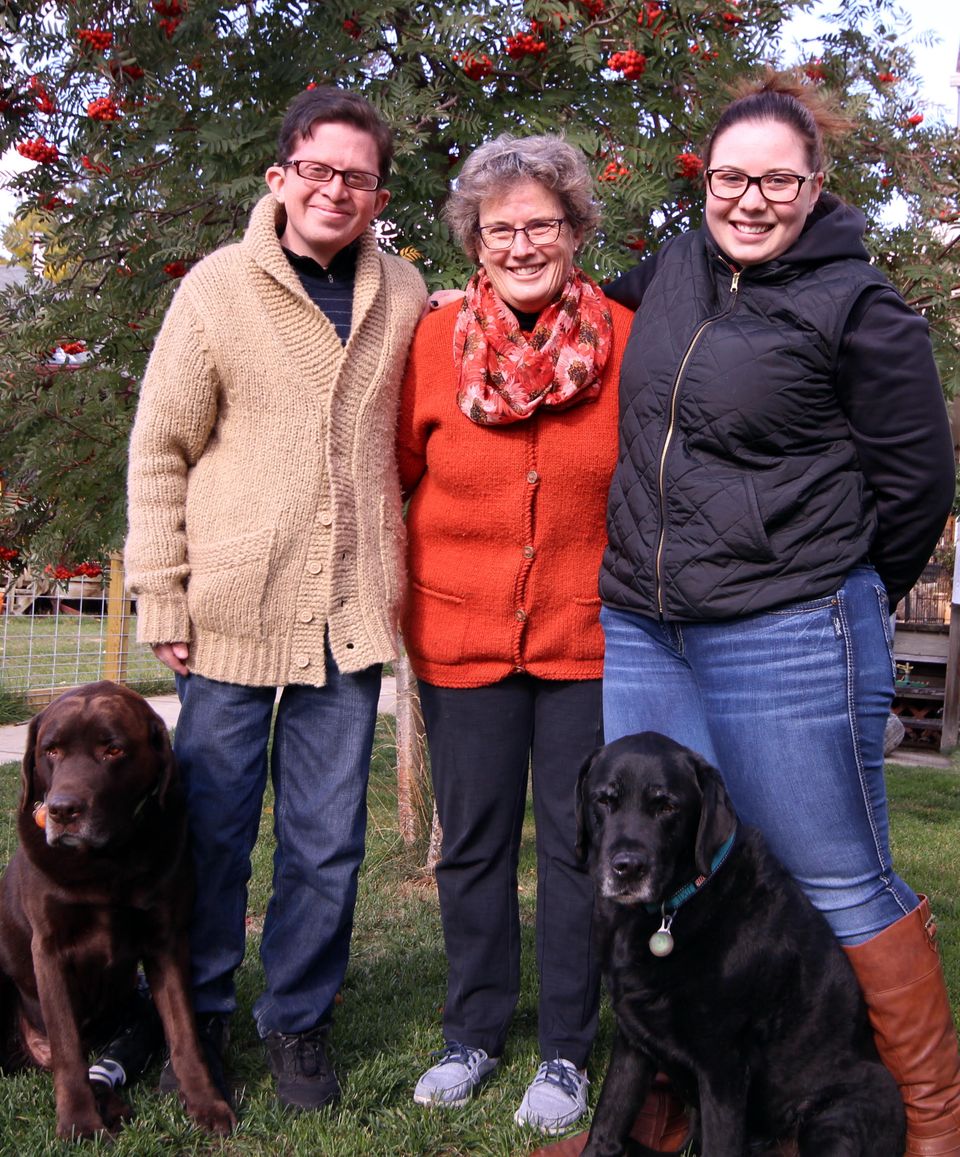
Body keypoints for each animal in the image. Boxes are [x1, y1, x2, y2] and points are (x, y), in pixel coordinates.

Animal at [578, 731, 911, 1157]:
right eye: (604, 800)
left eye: (667, 806)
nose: (627, 867)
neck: (677, 907)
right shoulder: (633, 1042)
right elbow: (608, 1120)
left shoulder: (723, 1063)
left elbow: (720, 1144)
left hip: (843, 1114)